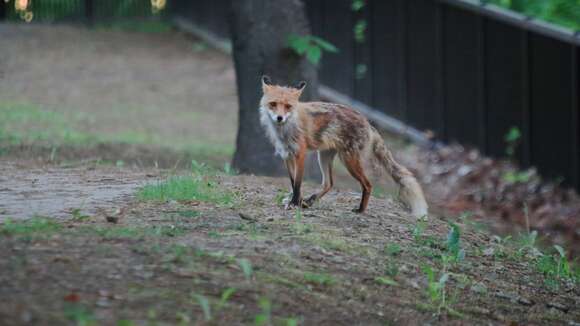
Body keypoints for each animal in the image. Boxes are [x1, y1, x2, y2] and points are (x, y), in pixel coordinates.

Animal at [260, 76, 428, 219]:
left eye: (288, 106)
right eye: (273, 104)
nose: (279, 118)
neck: (285, 130)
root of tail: (368, 122)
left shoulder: (300, 154)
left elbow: (297, 184)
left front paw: (294, 203)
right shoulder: (287, 155)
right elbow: (292, 181)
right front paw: (296, 201)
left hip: (349, 161)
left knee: (367, 185)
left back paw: (360, 210)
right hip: (324, 156)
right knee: (329, 183)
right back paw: (309, 201)